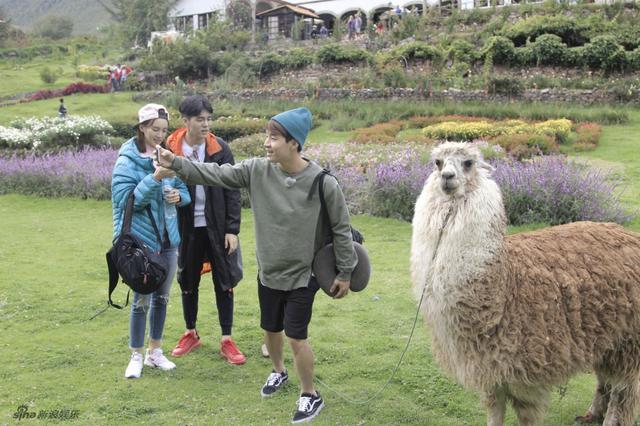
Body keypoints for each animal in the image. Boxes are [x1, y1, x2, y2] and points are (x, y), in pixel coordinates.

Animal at [410, 142, 640, 426]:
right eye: (438, 163)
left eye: (468, 163)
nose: (447, 178)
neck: (503, 287)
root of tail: (630, 235)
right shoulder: (490, 370)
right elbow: (494, 411)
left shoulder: (527, 370)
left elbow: (526, 416)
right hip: (605, 336)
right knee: (604, 379)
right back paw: (590, 414)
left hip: (628, 340)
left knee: (623, 390)